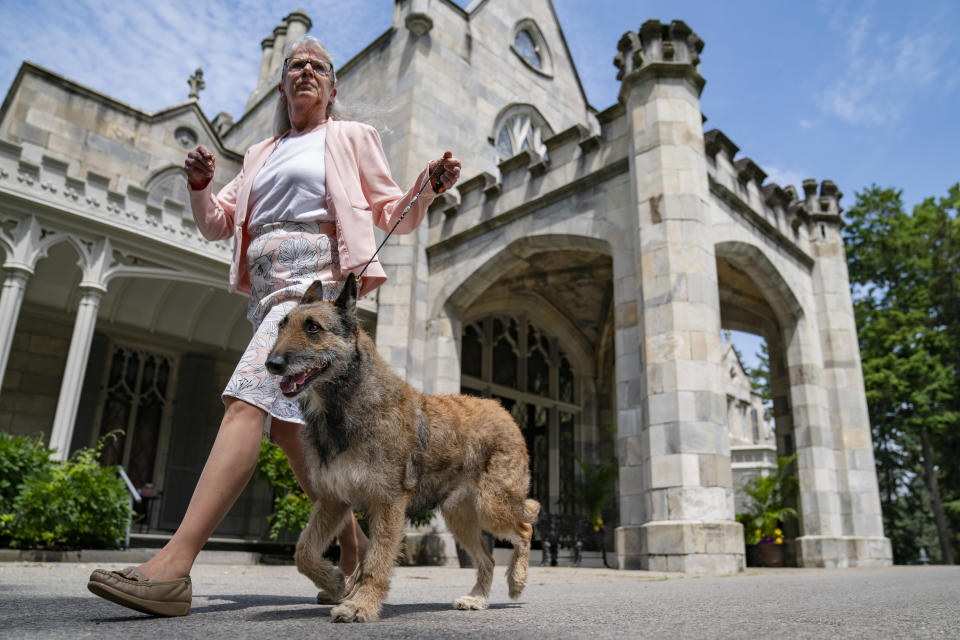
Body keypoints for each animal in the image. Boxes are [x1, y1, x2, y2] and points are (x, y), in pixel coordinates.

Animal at [266, 272, 544, 624]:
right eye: (281, 325)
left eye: (313, 327)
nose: (271, 364)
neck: (346, 405)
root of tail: (501, 409)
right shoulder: (333, 500)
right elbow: (303, 551)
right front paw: (335, 581)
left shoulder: (389, 503)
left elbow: (377, 560)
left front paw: (360, 605)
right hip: (459, 516)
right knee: (488, 558)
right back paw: (477, 599)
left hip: (492, 505)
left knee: (524, 528)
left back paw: (518, 580)